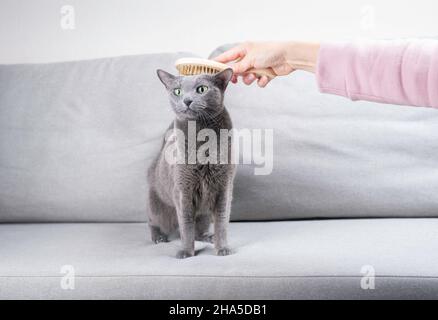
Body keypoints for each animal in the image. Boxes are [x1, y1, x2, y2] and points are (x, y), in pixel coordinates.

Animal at [147, 69, 236, 258]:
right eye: (177, 91)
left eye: (202, 89)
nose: (187, 100)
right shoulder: (183, 190)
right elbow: (186, 225)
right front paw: (186, 252)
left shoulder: (224, 187)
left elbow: (221, 221)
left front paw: (222, 248)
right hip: (157, 208)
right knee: (153, 222)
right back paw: (158, 237)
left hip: (203, 215)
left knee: (199, 231)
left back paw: (209, 237)